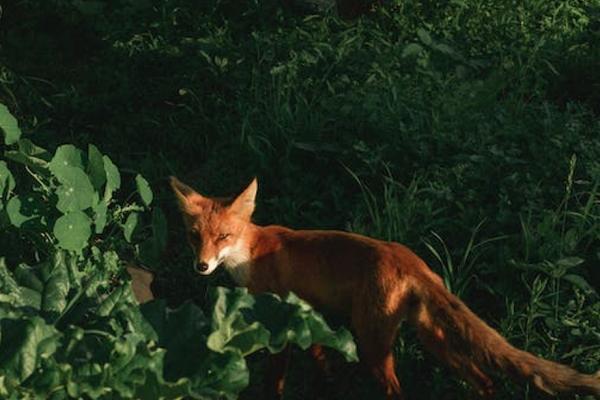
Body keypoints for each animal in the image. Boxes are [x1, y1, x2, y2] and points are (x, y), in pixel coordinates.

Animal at [170, 177, 600, 398]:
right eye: (194, 237)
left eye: (223, 236)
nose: (201, 266)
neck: (252, 253)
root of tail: (410, 261)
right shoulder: (305, 315)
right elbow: (319, 354)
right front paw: (329, 381)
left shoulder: (278, 328)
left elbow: (273, 383)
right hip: (432, 339)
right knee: (486, 380)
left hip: (373, 346)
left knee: (399, 392)